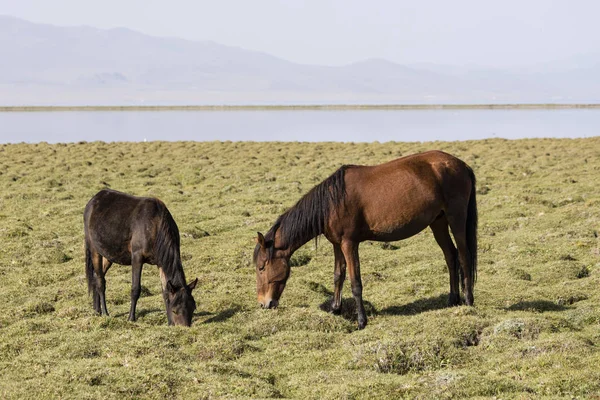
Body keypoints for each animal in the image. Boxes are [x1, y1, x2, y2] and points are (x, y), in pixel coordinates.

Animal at [84, 190, 198, 324]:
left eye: (193, 308)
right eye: (175, 310)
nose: (184, 327)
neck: (155, 225)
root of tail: (92, 200)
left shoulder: (160, 262)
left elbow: (165, 291)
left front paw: (169, 323)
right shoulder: (137, 257)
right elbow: (135, 288)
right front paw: (131, 318)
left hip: (108, 254)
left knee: (96, 275)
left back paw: (97, 310)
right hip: (94, 249)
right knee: (100, 280)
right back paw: (105, 313)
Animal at [253, 150, 478, 328]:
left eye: (261, 267)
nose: (264, 304)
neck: (331, 202)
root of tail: (461, 165)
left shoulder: (349, 244)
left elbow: (355, 282)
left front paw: (361, 321)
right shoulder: (337, 244)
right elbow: (338, 275)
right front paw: (335, 309)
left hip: (456, 218)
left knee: (464, 256)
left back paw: (468, 301)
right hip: (438, 222)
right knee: (450, 256)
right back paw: (452, 299)